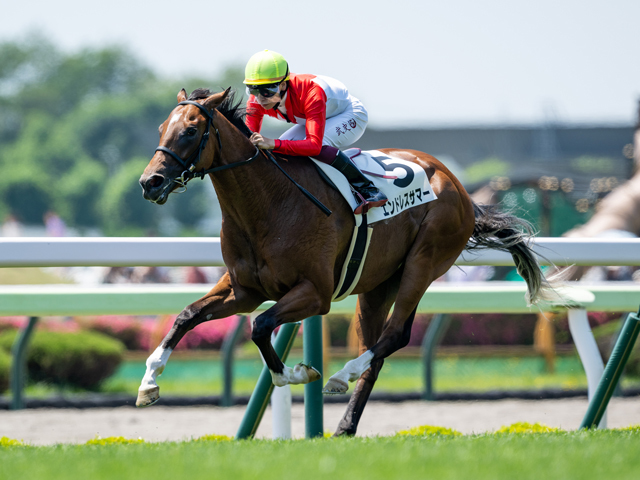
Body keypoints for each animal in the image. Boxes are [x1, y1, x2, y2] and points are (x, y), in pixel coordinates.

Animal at [139, 88, 556, 436]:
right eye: (161, 128)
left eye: (190, 131)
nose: (150, 182)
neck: (268, 204)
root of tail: (458, 186)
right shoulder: (244, 290)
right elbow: (187, 315)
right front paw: (149, 382)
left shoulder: (315, 293)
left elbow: (260, 327)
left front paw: (294, 373)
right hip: (377, 285)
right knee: (378, 349)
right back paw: (345, 425)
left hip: (423, 262)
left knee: (395, 336)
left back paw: (340, 377)